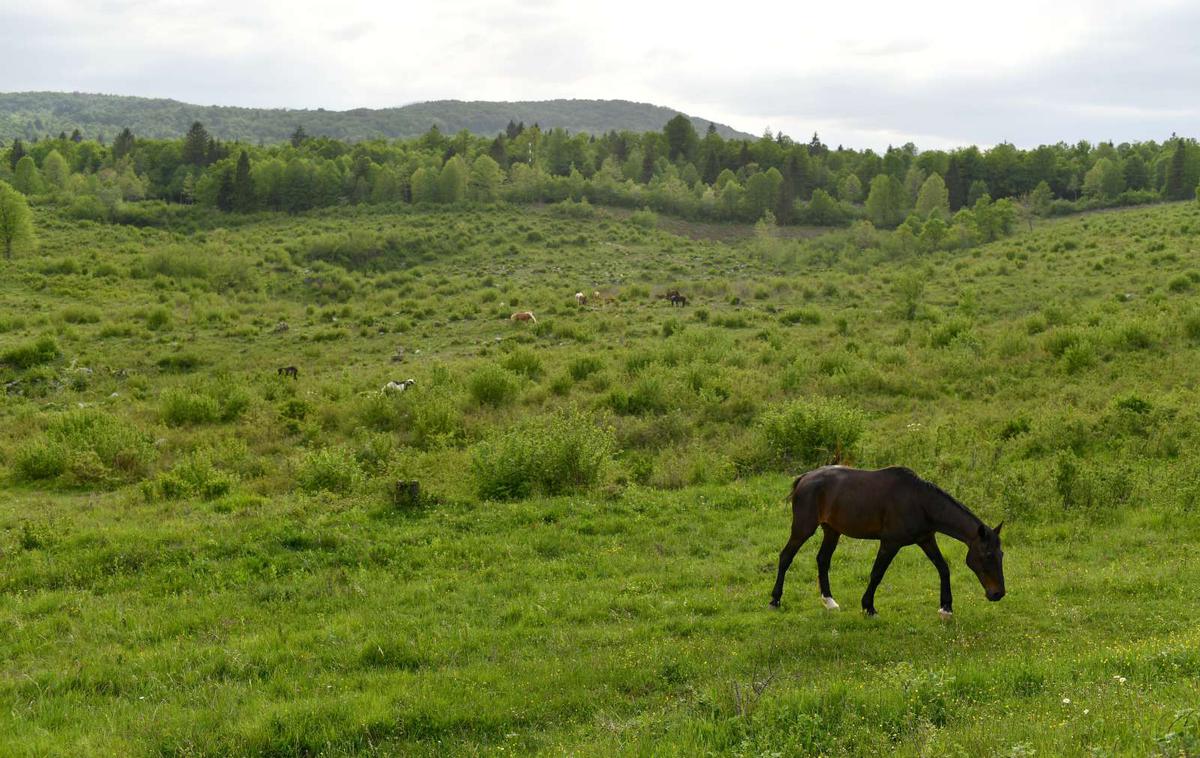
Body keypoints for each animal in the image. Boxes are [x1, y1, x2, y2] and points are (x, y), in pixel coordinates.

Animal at [768, 465, 1003, 618]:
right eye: (987, 555)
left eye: (1001, 554)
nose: (998, 593)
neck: (920, 502)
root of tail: (805, 478)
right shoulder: (890, 543)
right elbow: (877, 574)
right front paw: (868, 607)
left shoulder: (926, 539)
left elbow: (943, 568)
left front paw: (946, 608)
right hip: (803, 529)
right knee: (786, 556)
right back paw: (775, 600)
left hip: (832, 531)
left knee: (823, 560)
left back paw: (830, 602)